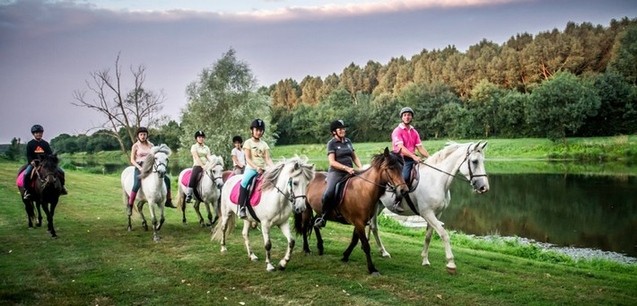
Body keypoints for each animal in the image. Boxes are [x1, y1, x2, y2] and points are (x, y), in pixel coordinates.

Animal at [294, 147, 408, 276]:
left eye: (401, 167)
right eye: (390, 168)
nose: (404, 190)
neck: (364, 190)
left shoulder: (361, 222)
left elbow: (354, 240)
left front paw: (345, 256)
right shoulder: (358, 222)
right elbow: (365, 244)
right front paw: (372, 269)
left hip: (319, 210)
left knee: (315, 223)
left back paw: (320, 246)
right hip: (306, 208)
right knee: (305, 227)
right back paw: (307, 249)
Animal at [376, 142, 490, 274]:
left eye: (483, 160)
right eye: (475, 161)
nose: (484, 187)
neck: (436, 180)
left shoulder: (436, 214)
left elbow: (428, 236)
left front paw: (425, 260)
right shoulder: (427, 213)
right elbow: (444, 235)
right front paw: (451, 264)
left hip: (379, 206)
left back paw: (383, 252)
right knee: (374, 227)